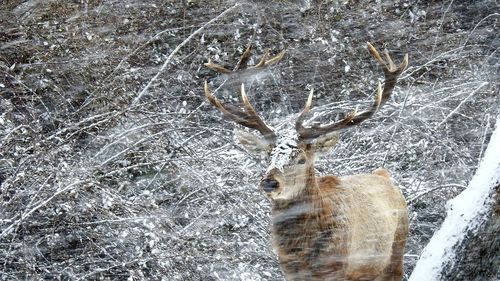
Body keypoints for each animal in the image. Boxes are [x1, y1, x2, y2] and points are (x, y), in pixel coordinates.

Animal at [203, 42, 410, 280]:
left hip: (396, 251)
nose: (270, 183)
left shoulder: (337, 268)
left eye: (301, 158)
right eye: (268, 156)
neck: (305, 256)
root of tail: (383, 174)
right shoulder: (289, 272)